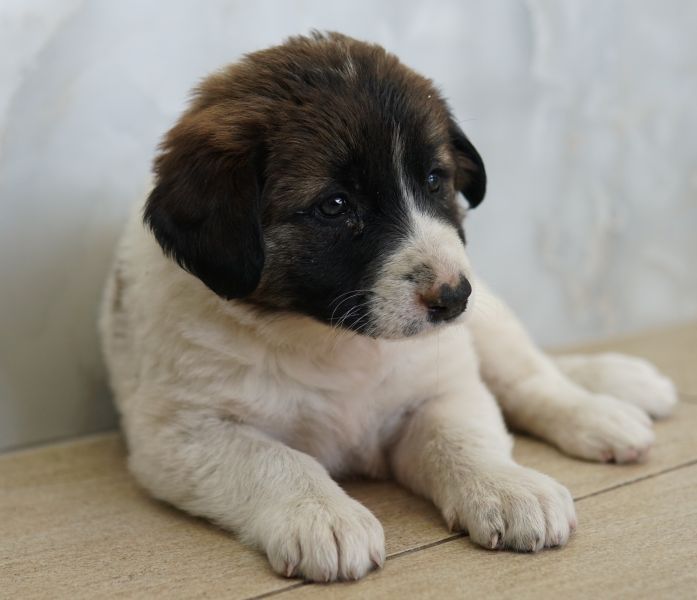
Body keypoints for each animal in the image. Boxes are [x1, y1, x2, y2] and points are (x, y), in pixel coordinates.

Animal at [100, 32, 677, 582]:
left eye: (434, 180)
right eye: (335, 206)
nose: (454, 296)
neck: (329, 341)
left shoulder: (437, 388)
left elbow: (462, 438)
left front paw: (508, 487)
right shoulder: (185, 431)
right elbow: (274, 459)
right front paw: (324, 517)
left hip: (489, 325)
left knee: (529, 377)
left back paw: (603, 405)